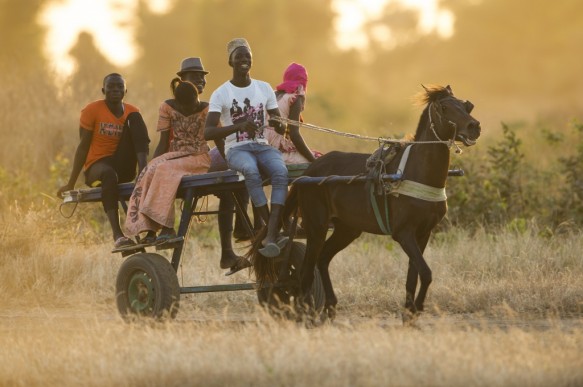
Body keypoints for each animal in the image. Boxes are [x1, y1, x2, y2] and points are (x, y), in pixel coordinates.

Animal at [286, 86, 482, 322]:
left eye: (466, 105)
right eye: (444, 108)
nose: (474, 127)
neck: (416, 173)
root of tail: (309, 171)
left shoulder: (423, 233)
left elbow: (414, 275)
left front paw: (409, 313)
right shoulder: (403, 233)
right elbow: (426, 273)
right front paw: (416, 308)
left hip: (347, 229)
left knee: (323, 259)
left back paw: (330, 307)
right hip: (317, 226)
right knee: (306, 271)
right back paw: (304, 312)